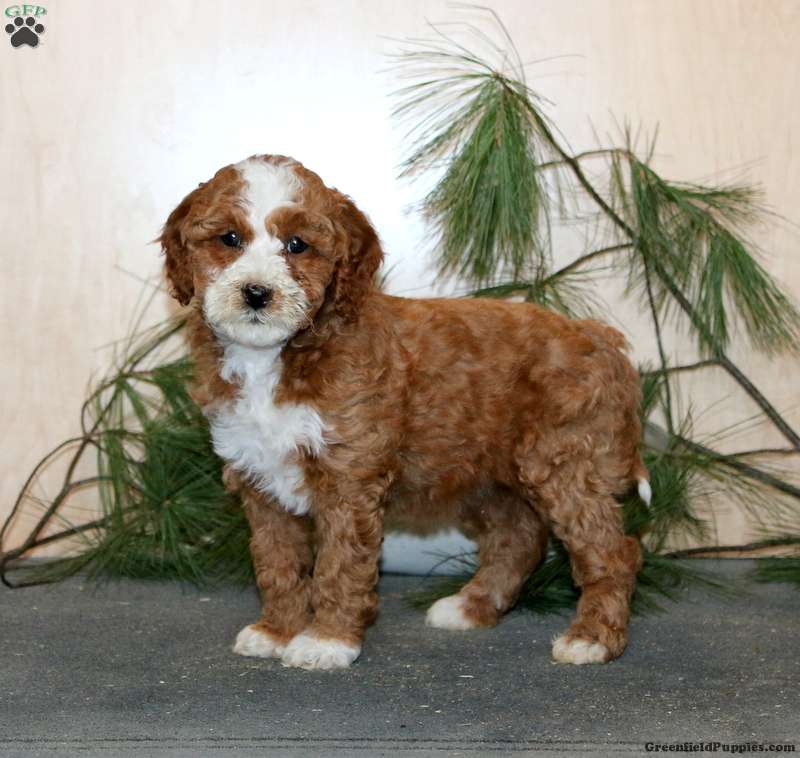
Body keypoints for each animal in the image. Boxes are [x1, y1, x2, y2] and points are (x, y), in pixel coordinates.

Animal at [159, 154, 648, 670]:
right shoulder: (260, 477)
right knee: (517, 538)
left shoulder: (348, 476)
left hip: (563, 461)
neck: (280, 356)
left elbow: (339, 562)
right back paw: (470, 608)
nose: (256, 293)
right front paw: (278, 630)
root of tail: (599, 336)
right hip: (494, 476)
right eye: (229, 239)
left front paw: (326, 641)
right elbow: (277, 561)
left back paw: (592, 639)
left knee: (612, 549)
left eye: (297, 245)